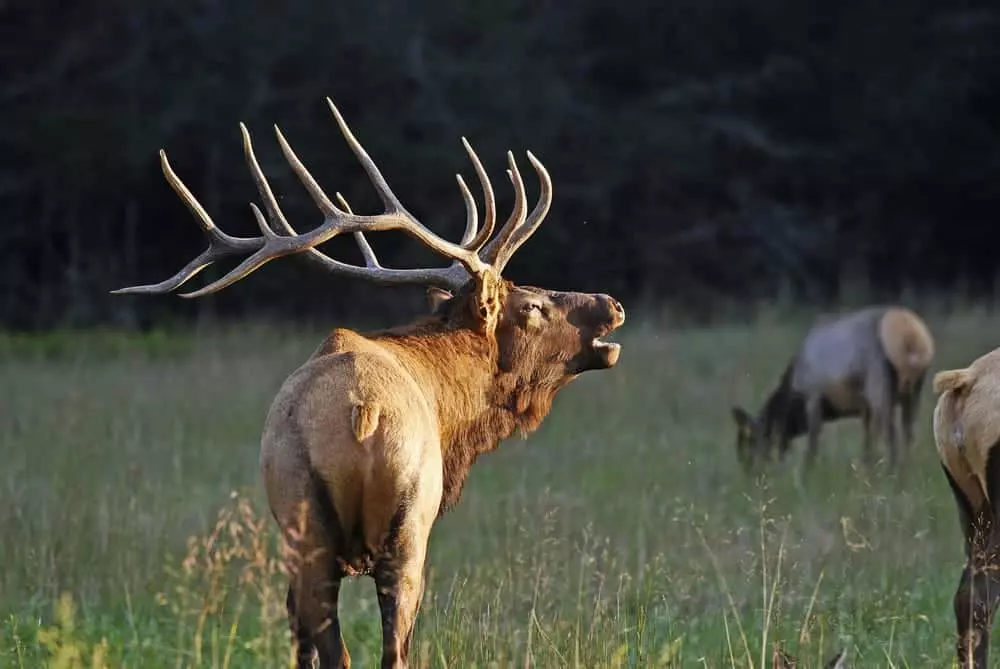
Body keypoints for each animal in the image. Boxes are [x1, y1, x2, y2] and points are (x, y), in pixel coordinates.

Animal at [111, 97, 626, 669]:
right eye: (532, 306)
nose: (611, 303)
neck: (451, 416)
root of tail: (364, 413)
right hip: (406, 531)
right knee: (379, 648)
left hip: (308, 529)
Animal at [731, 306, 934, 475]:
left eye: (749, 441)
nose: (747, 472)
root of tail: (912, 337)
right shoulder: (865, 408)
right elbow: (867, 443)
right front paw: (867, 471)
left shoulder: (813, 397)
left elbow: (813, 444)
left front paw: (808, 473)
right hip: (913, 392)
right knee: (908, 434)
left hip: (880, 388)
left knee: (892, 436)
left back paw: (892, 474)